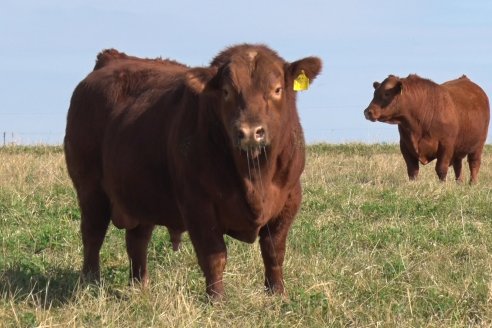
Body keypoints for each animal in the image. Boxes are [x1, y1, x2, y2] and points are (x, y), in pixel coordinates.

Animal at [63, 44, 320, 298]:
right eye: (226, 91)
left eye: (277, 89)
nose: (249, 132)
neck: (255, 177)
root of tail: (112, 58)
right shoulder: (198, 205)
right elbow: (214, 255)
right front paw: (217, 299)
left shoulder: (290, 199)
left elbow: (274, 251)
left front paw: (277, 294)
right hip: (90, 189)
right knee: (92, 234)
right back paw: (90, 282)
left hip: (141, 193)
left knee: (137, 240)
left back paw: (140, 286)